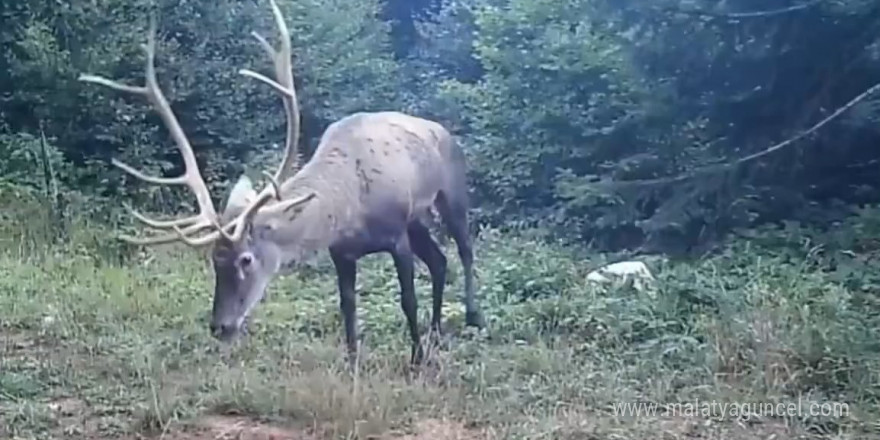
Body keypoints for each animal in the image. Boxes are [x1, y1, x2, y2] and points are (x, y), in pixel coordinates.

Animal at [77, 0, 482, 366]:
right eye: (212, 260)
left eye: (246, 259)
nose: (220, 327)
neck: (348, 210)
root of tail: (444, 130)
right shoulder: (341, 251)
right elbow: (347, 307)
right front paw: (352, 363)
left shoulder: (396, 233)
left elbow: (406, 299)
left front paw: (417, 359)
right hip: (417, 219)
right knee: (439, 261)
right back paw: (437, 330)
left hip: (451, 191)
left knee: (464, 248)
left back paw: (471, 318)